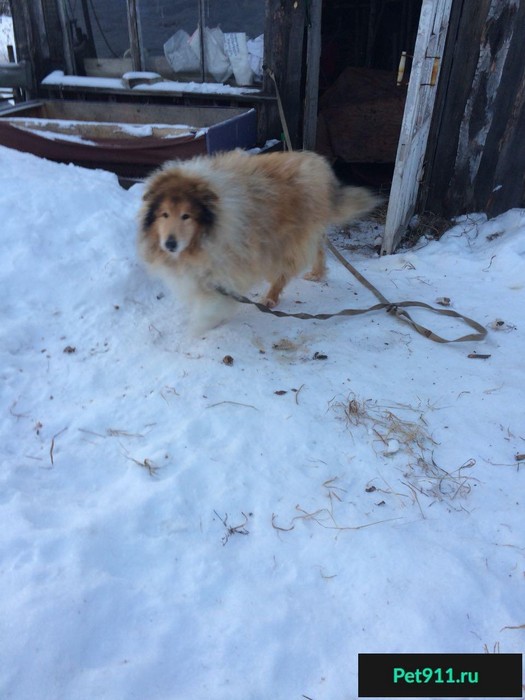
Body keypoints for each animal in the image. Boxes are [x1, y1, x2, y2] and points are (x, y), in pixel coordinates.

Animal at [137, 150, 378, 330]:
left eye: (186, 216)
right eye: (164, 214)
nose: (170, 244)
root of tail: (317, 164)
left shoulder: (229, 260)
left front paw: (208, 320)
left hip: (288, 241)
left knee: (286, 269)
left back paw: (271, 297)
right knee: (318, 247)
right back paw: (317, 273)